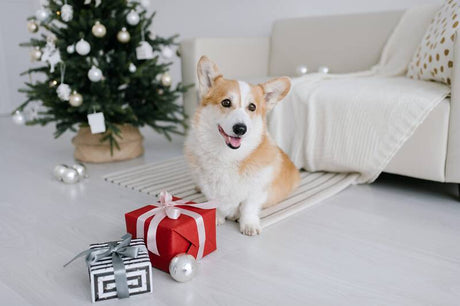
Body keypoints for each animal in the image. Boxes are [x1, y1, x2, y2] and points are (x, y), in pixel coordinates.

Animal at [185, 56, 300, 235]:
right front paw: (217, 217)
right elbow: (216, 202)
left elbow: (248, 207)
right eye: (226, 102)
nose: (240, 129)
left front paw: (248, 224)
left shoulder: (256, 191)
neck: (228, 155)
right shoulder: (211, 188)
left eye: (252, 107)